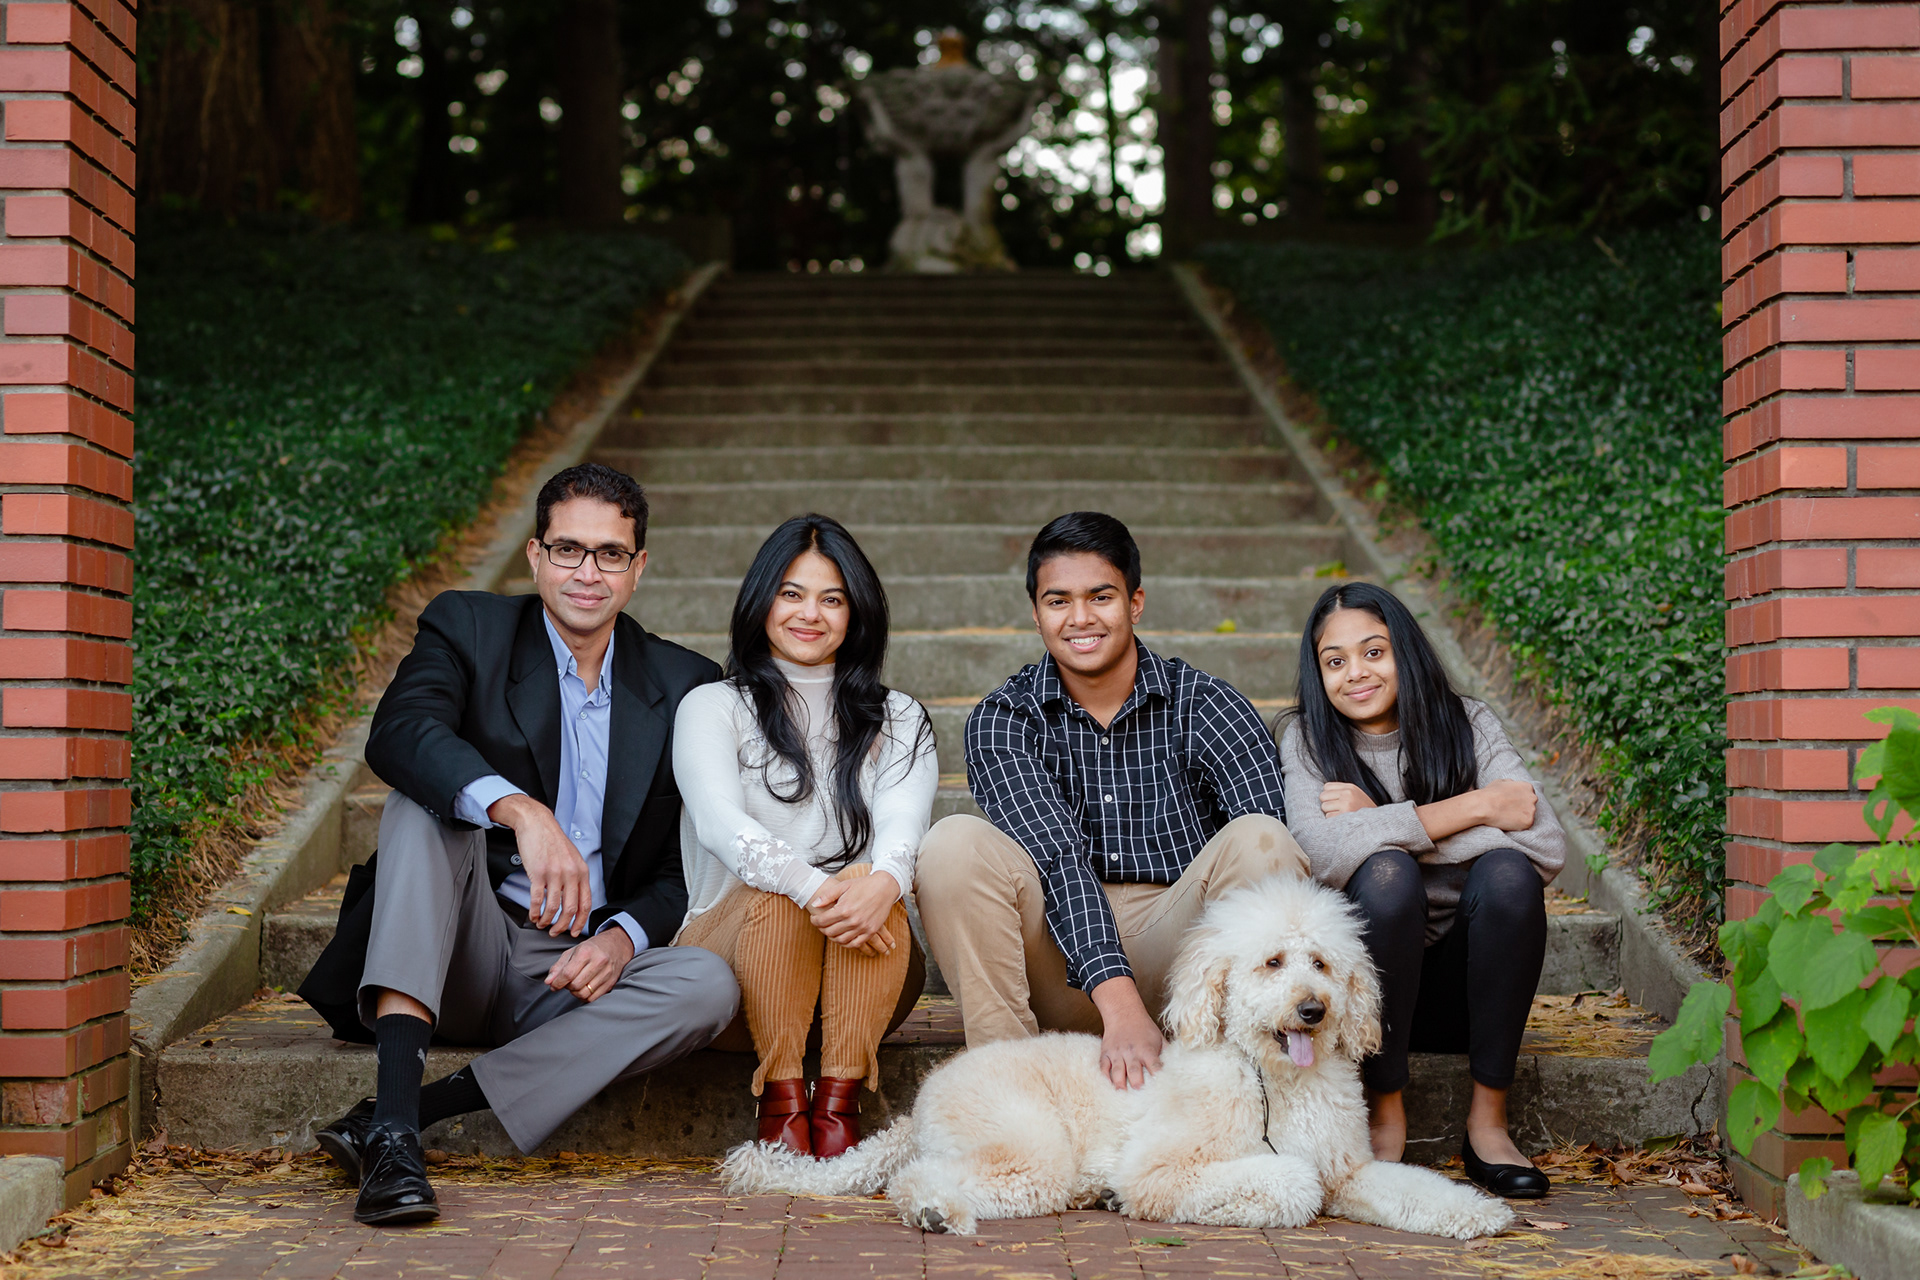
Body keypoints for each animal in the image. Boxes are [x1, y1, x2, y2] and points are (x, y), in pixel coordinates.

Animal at [721, 876, 1515, 1239]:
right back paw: (934, 1210)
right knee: (918, 1180)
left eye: (1321, 963)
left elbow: (1406, 1188)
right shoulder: (1164, 1168)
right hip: (1027, 1145)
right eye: (1272, 962)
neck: (1268, 1077)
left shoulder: (1349, 1169)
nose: (1313, 1011)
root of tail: (921, 1107)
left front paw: (1476, 1212)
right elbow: (1290, 1181)